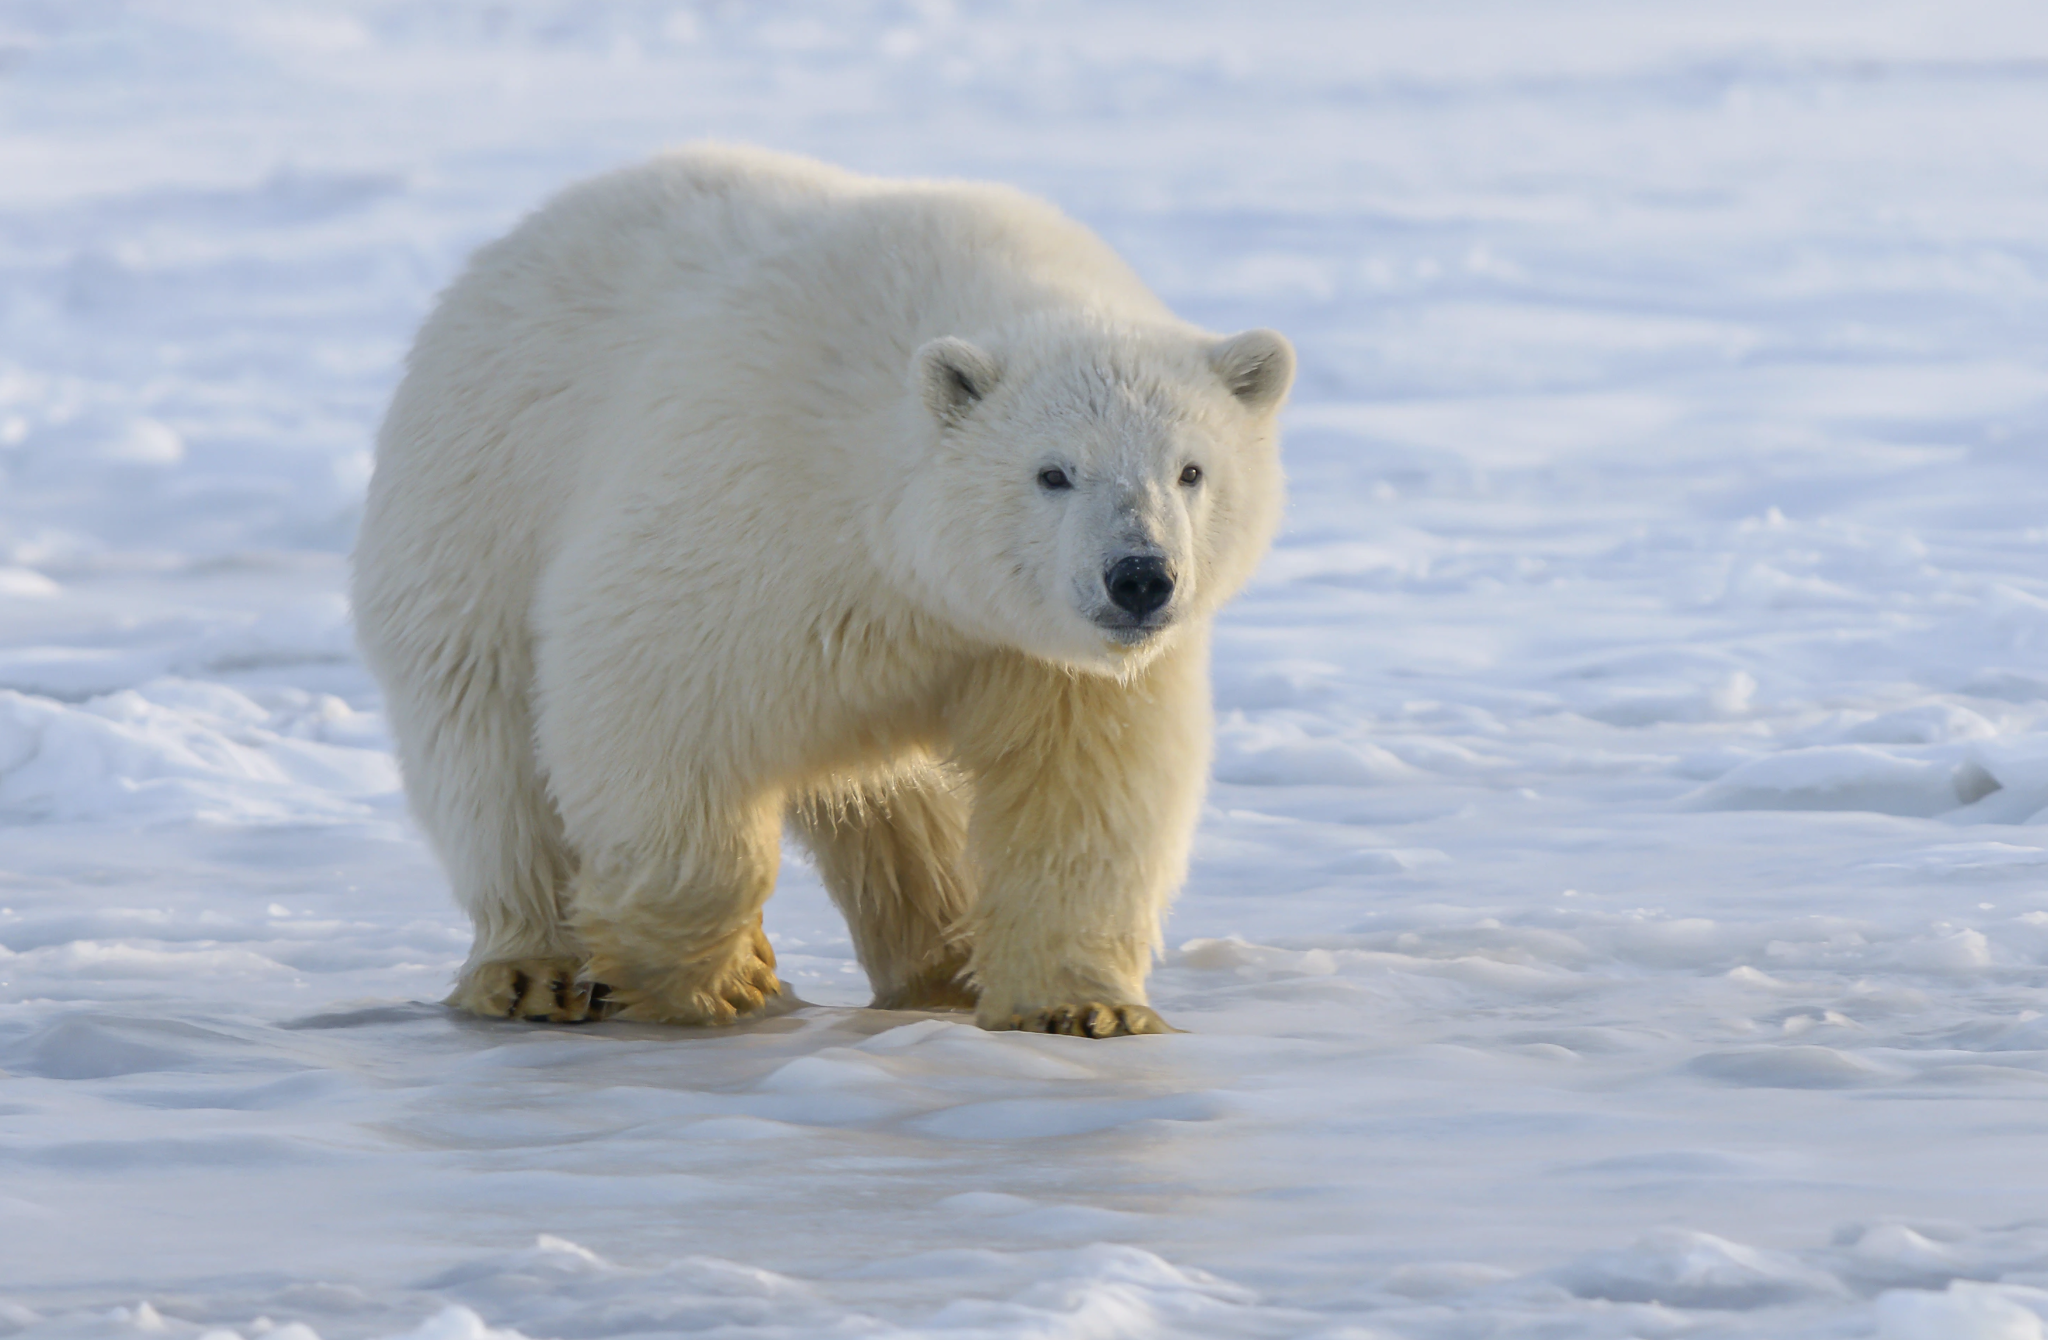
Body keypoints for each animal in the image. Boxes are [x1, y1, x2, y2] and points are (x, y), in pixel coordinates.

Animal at [346, 144, 1286, 1040]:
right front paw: (718, 976)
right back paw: (532, 970)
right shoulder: (751, 507)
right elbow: (652, 700)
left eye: (1191, 470)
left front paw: (1085, 1007)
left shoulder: (1037, 655)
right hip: (478, 510)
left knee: (902, 812)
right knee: (489, 751)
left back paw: (940, 964)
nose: (1140, 577)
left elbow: (1082, 793)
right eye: (1053, 472)